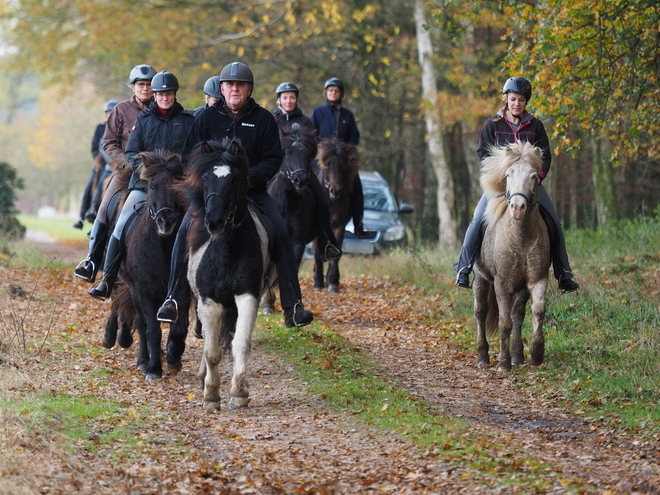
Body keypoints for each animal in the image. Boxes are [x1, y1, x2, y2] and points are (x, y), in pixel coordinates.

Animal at [114, 153, 187, 382]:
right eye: (152, 187)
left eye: (177, 185)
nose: (166, 220)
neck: (162, 246)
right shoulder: (145, 290)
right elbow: (152, 330)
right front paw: (154, 369)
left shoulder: (182, 290)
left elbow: (179, 328)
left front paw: (174, 356)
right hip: (134, 291)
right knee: (141, 323)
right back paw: (143, 360)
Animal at [182, 139, 278, 410]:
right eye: (205, 178)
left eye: (234, 180)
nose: (214, 222)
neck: (227, 250)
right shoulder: (209, 302)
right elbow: (212, 351)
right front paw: (211, 395)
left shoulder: (248, 296)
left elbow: (240, 344)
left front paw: (238, 393)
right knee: (208, 341)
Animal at [314, 138, 358, 292]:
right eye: (327, 164)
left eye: (343, 166)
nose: (335, 191)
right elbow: (317, 252)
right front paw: (318, 282)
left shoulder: (339, 226)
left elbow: (336, 253)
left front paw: (333, 281)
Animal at [472, 140, 548, 372]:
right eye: (507, 175)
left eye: (534, 176)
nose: (517, 208)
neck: (520, 236)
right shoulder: (501, 283)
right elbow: (503, 322)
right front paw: (503, 363)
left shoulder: (537, 279)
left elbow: (537, 311)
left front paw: (536, 353)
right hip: (480, 278)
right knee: (480, 312)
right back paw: (483, 357)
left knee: (517, 314)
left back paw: (518, 355)